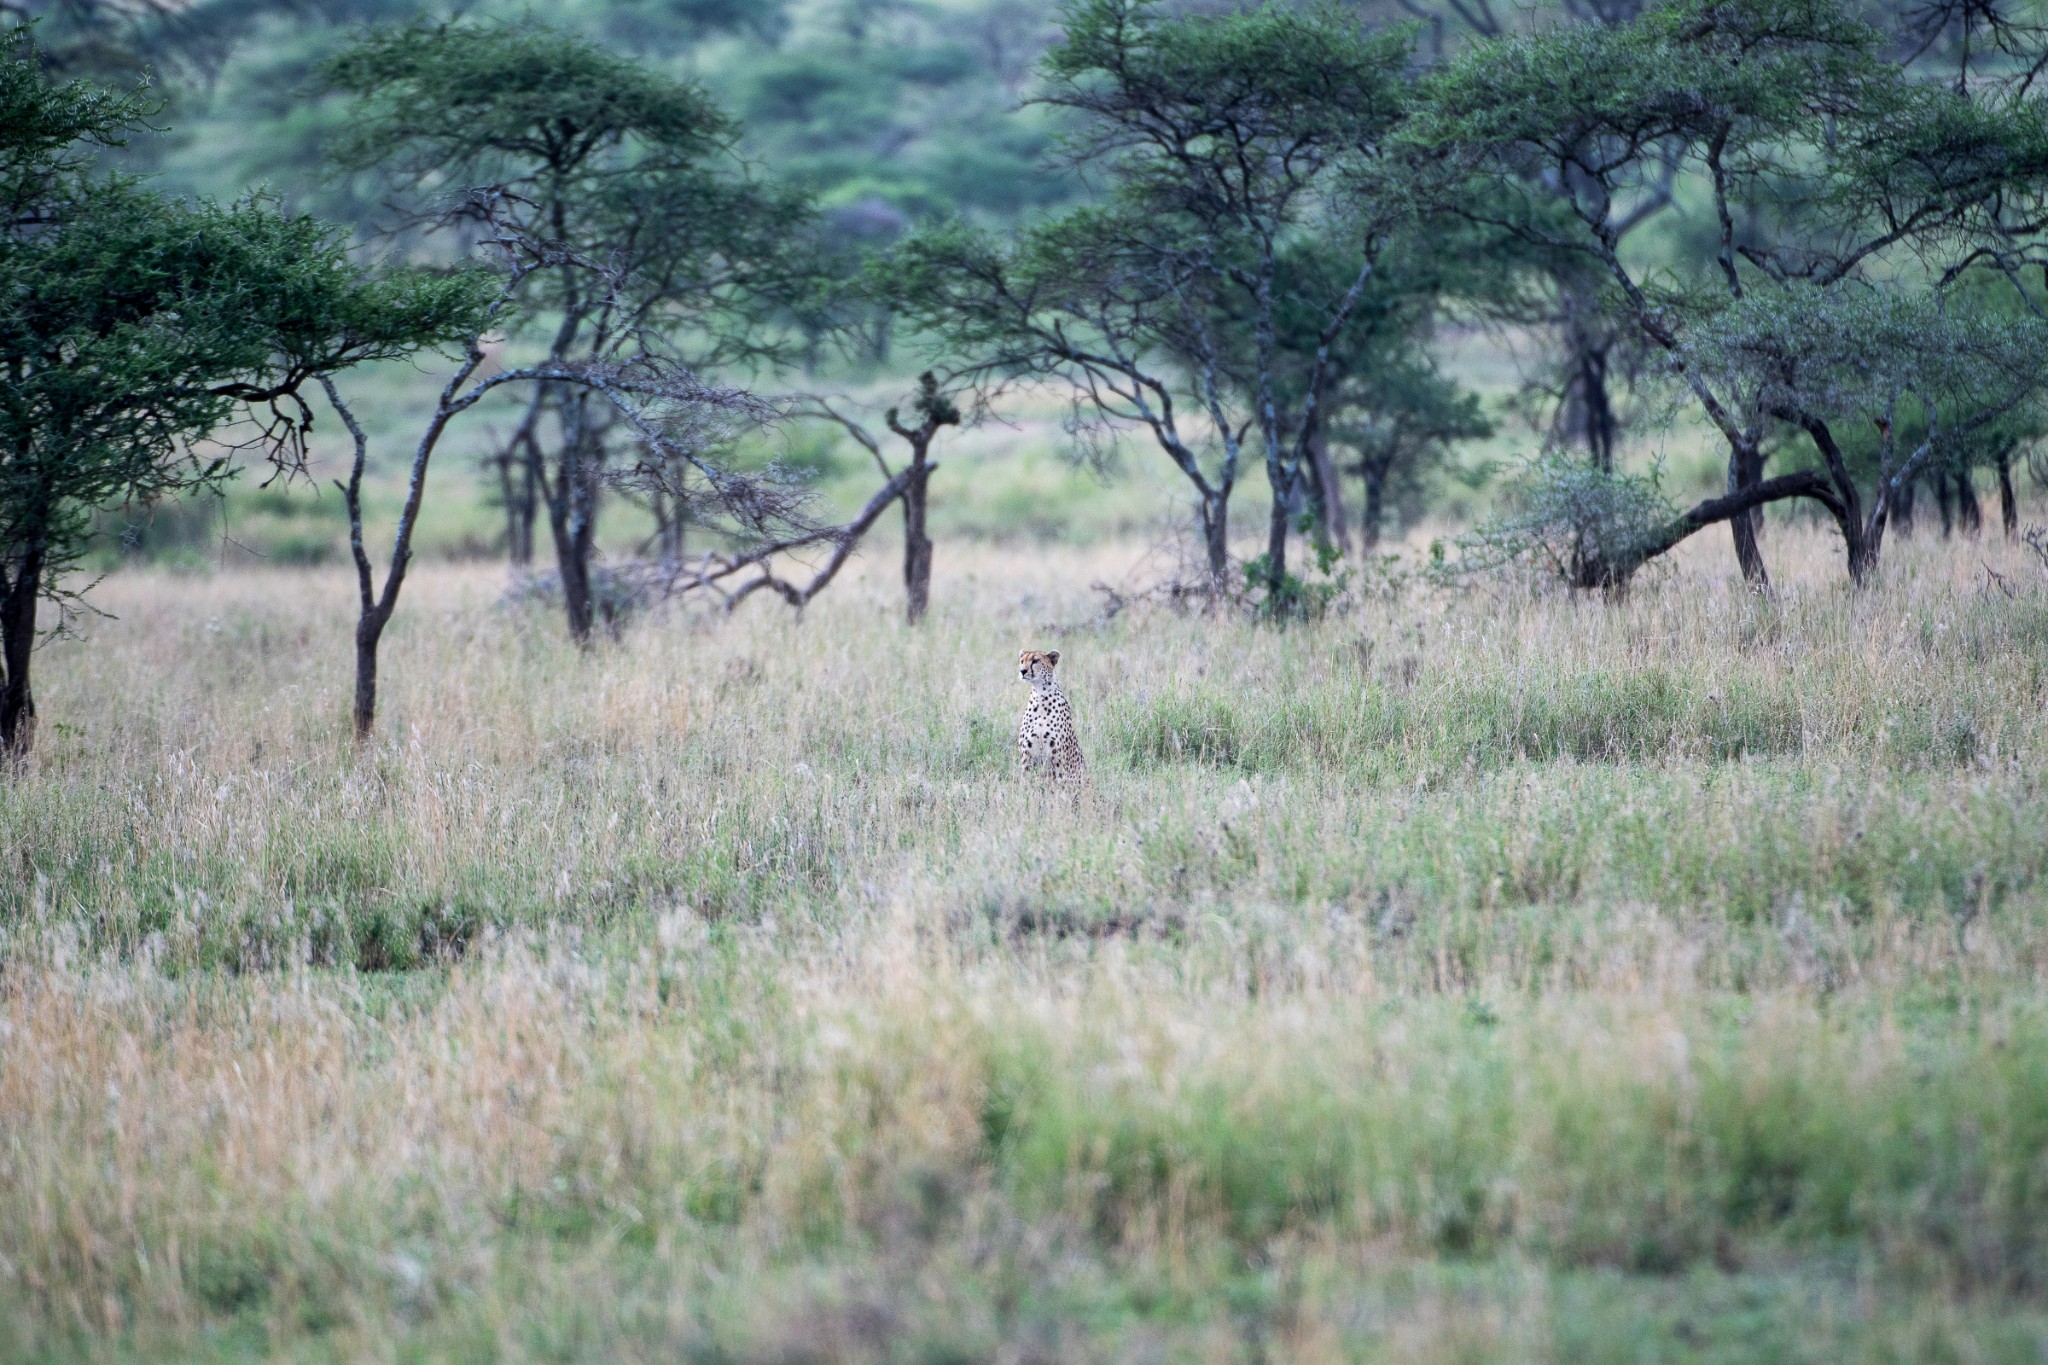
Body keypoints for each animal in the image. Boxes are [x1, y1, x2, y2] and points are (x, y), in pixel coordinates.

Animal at [1019, 654, 1089, 785]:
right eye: (1022, 661)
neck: (1040, 694)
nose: (1022, 671)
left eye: (1035, 660)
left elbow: (1060, 780)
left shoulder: (1057, 756)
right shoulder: (1027, 755)